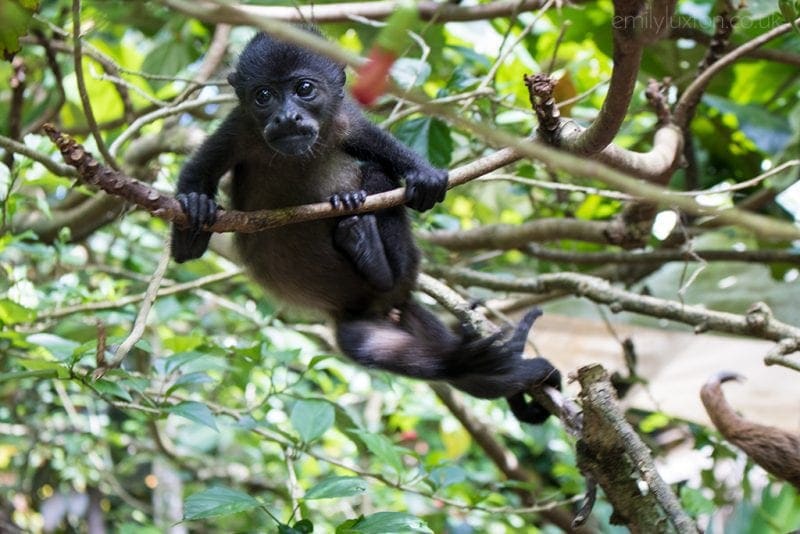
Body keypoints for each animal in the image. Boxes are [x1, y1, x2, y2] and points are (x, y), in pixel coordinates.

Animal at [173, 29, 564, 426]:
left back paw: (371, 254)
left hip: (406, 282)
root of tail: (389, 307)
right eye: (263, 96)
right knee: (404, 357)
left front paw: (423, 175)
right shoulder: (238, 128)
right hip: (359, 327)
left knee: (379, 178)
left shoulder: (344, 117)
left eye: (304, 89)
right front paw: (197, 207)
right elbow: (193, 205)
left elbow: (381, 148)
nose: (286, 117)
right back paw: (463, 359)